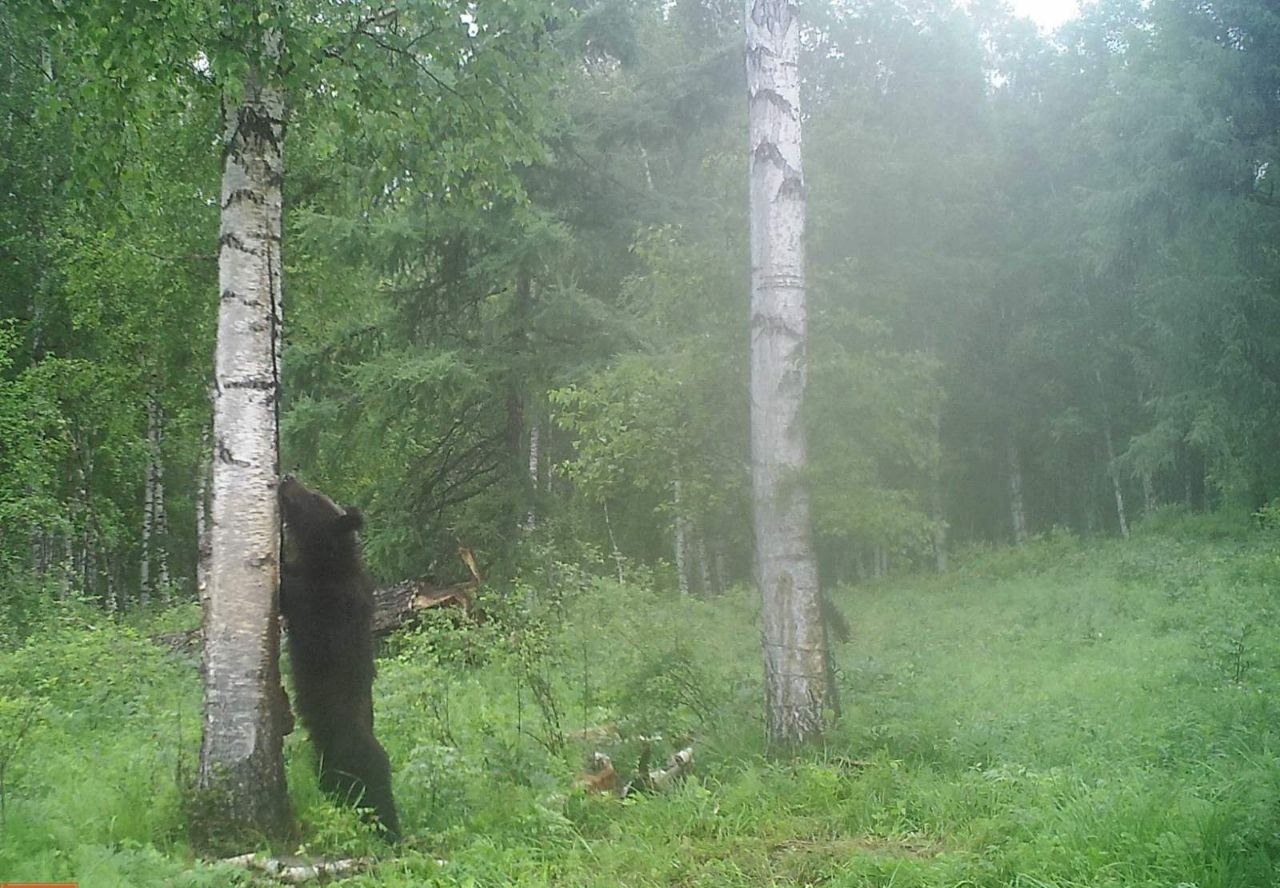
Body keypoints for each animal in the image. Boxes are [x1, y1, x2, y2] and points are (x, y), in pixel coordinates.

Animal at [279, 473, 399, 839]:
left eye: (314, 495)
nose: (287, 477)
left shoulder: (331, 609)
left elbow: (307, 618)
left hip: (354, 754)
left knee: (377, 794)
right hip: (325, 765)